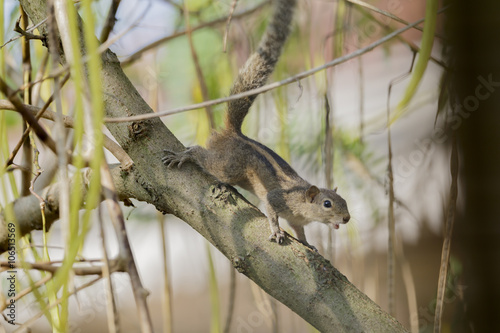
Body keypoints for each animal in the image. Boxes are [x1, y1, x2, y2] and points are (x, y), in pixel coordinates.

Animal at [162, 0, 350, 246]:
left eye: (344, 200)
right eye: (327, 203)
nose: (346, 218)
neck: (303, 204)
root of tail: (234, 134)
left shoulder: (297, 220)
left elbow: (300, 231)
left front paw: (309, 244)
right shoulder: (277, 198)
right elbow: (271, 210)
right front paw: (277, 231)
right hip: (230, 166)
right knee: (203, 156)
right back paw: (184, 155)